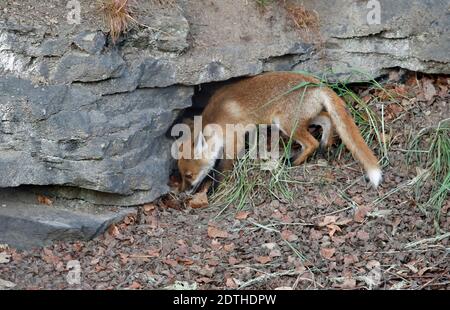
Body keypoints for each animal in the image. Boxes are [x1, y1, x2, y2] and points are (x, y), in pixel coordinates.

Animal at [178, 72, 382, 191]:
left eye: (188, 176)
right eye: (181, 175)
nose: (184, 192)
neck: (217, 116)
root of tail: (317, 83)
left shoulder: (234, 138)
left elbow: (222, 168)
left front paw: (213, 188)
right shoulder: (248, 130)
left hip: (285, 123)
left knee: (311, 142)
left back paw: (293, 161)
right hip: (303, 118)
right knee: (327, 120)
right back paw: (324, 147)